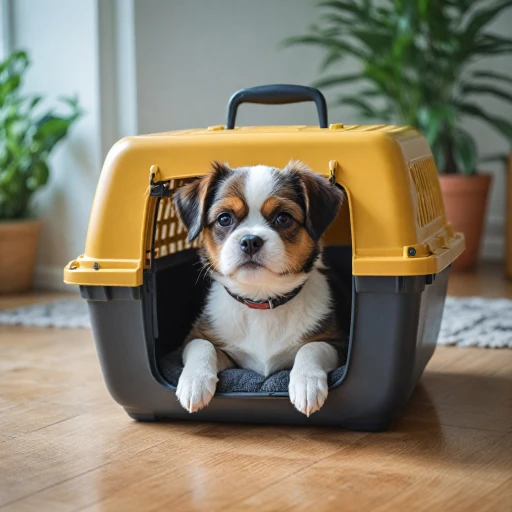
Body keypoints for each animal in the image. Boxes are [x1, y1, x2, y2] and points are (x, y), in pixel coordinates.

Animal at [173, 160, 348, 416]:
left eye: (283, 218)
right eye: (224, 219)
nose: (250, 241)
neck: (261, 301)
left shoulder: (338, 343)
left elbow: (312, 347)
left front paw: (306, 384)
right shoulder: (199, 338)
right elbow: (202, 346)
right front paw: (194, 383)